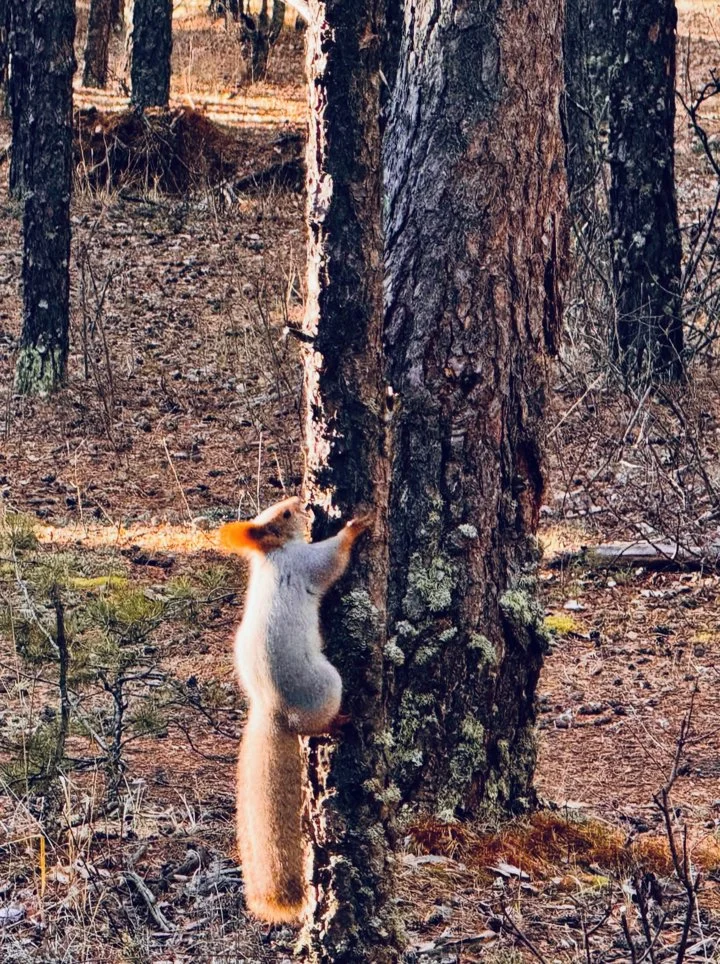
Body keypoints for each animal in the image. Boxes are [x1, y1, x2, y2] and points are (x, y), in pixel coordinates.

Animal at [219, 496, 372, 923]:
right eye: (285, 515)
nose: (300, 501)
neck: (273, 555)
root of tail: (275, 713)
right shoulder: (305, 563)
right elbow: (332, 561)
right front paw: (356, 526)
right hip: (326, 684)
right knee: (316, 725)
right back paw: (341, 720)